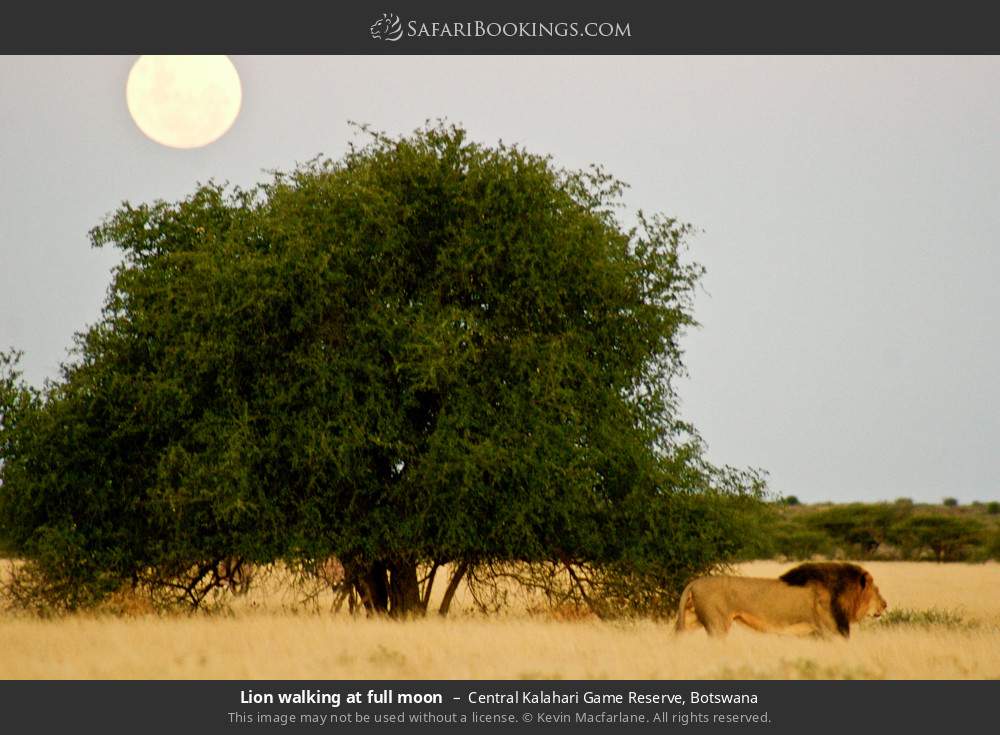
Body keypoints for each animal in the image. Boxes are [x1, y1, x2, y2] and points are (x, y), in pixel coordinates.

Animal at [675, 562, 887, 638]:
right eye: (876, 590)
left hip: (691, 620)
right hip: (717, 625)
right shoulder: (832, 630)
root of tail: (693, 583)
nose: (885, 605)